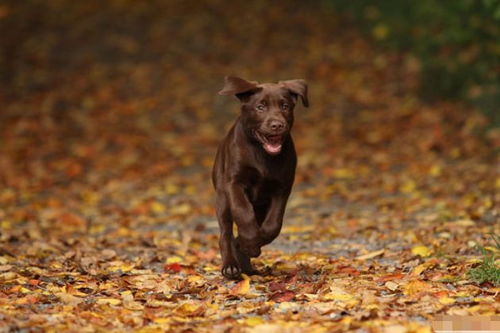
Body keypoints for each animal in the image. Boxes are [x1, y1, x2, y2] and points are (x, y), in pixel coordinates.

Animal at [212, 75, 308, 278]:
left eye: (285, 106)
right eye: (260, 107)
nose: (277, 125)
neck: (262, 154)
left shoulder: (282, 188)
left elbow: (273, 224)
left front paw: (248, 244)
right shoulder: (234, 183)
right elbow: (243, 212)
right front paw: (249, 242)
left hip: (261, 205)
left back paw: (246, 264)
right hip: (222, 198)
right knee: (225, 233)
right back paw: (231, 266)